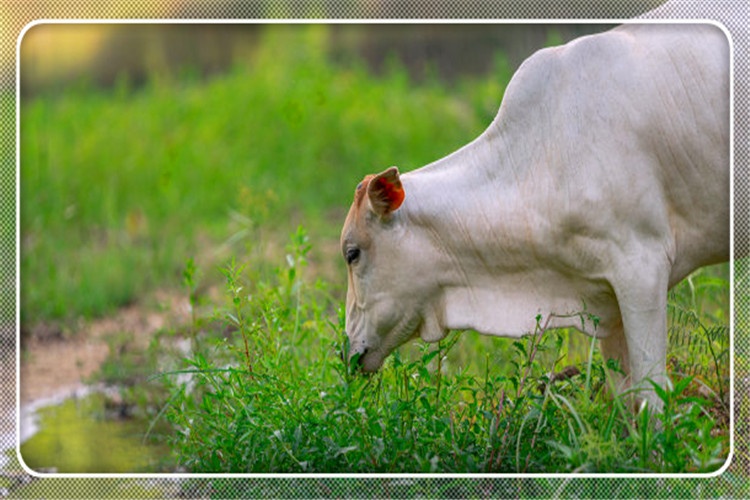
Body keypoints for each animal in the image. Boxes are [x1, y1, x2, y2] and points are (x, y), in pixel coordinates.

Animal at [340, 21, 728, 410]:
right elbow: (626, 399)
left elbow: (651, 398)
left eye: (352, 253)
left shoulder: (642, 267)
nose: (345, 353)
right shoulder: (610, 301)